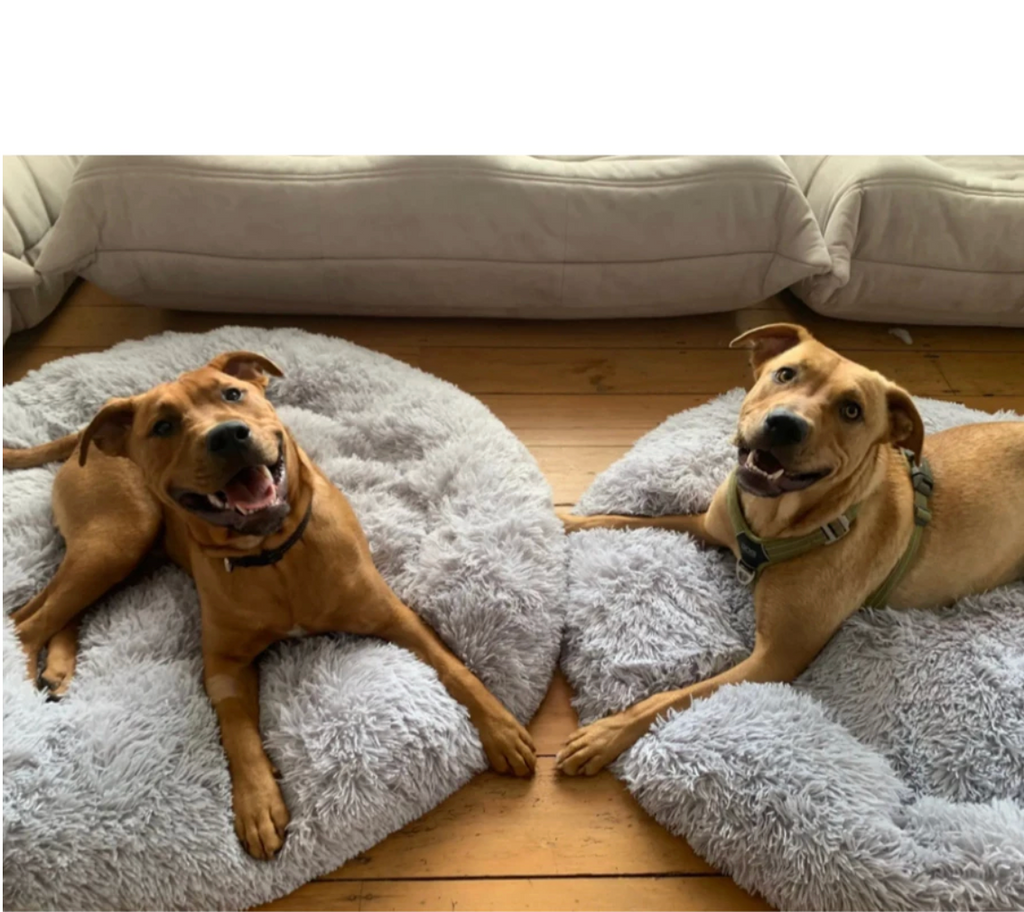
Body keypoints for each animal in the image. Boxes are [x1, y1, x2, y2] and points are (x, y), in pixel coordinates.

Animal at [4, 351, 536, 859]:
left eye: (232, 393)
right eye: (163, 426)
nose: (227, 436)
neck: (274, 557)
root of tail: (85, 437)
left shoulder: (396, 617)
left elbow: (455, 669)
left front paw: (501, 730)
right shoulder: (223, 666)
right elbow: (239, 733)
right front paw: (258, 805)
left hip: (125, 552)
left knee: (51, 606)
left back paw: (57, 666)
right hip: (118, 538)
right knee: (28, 619)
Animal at [556, 323, 1024, 777]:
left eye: (852, 410)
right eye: (786, 374)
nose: (785, 424)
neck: (775, 522)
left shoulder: (773, 660)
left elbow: (666, 699)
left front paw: (605, 735)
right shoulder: (708, 525)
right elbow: (623, 518)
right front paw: (564, 522)